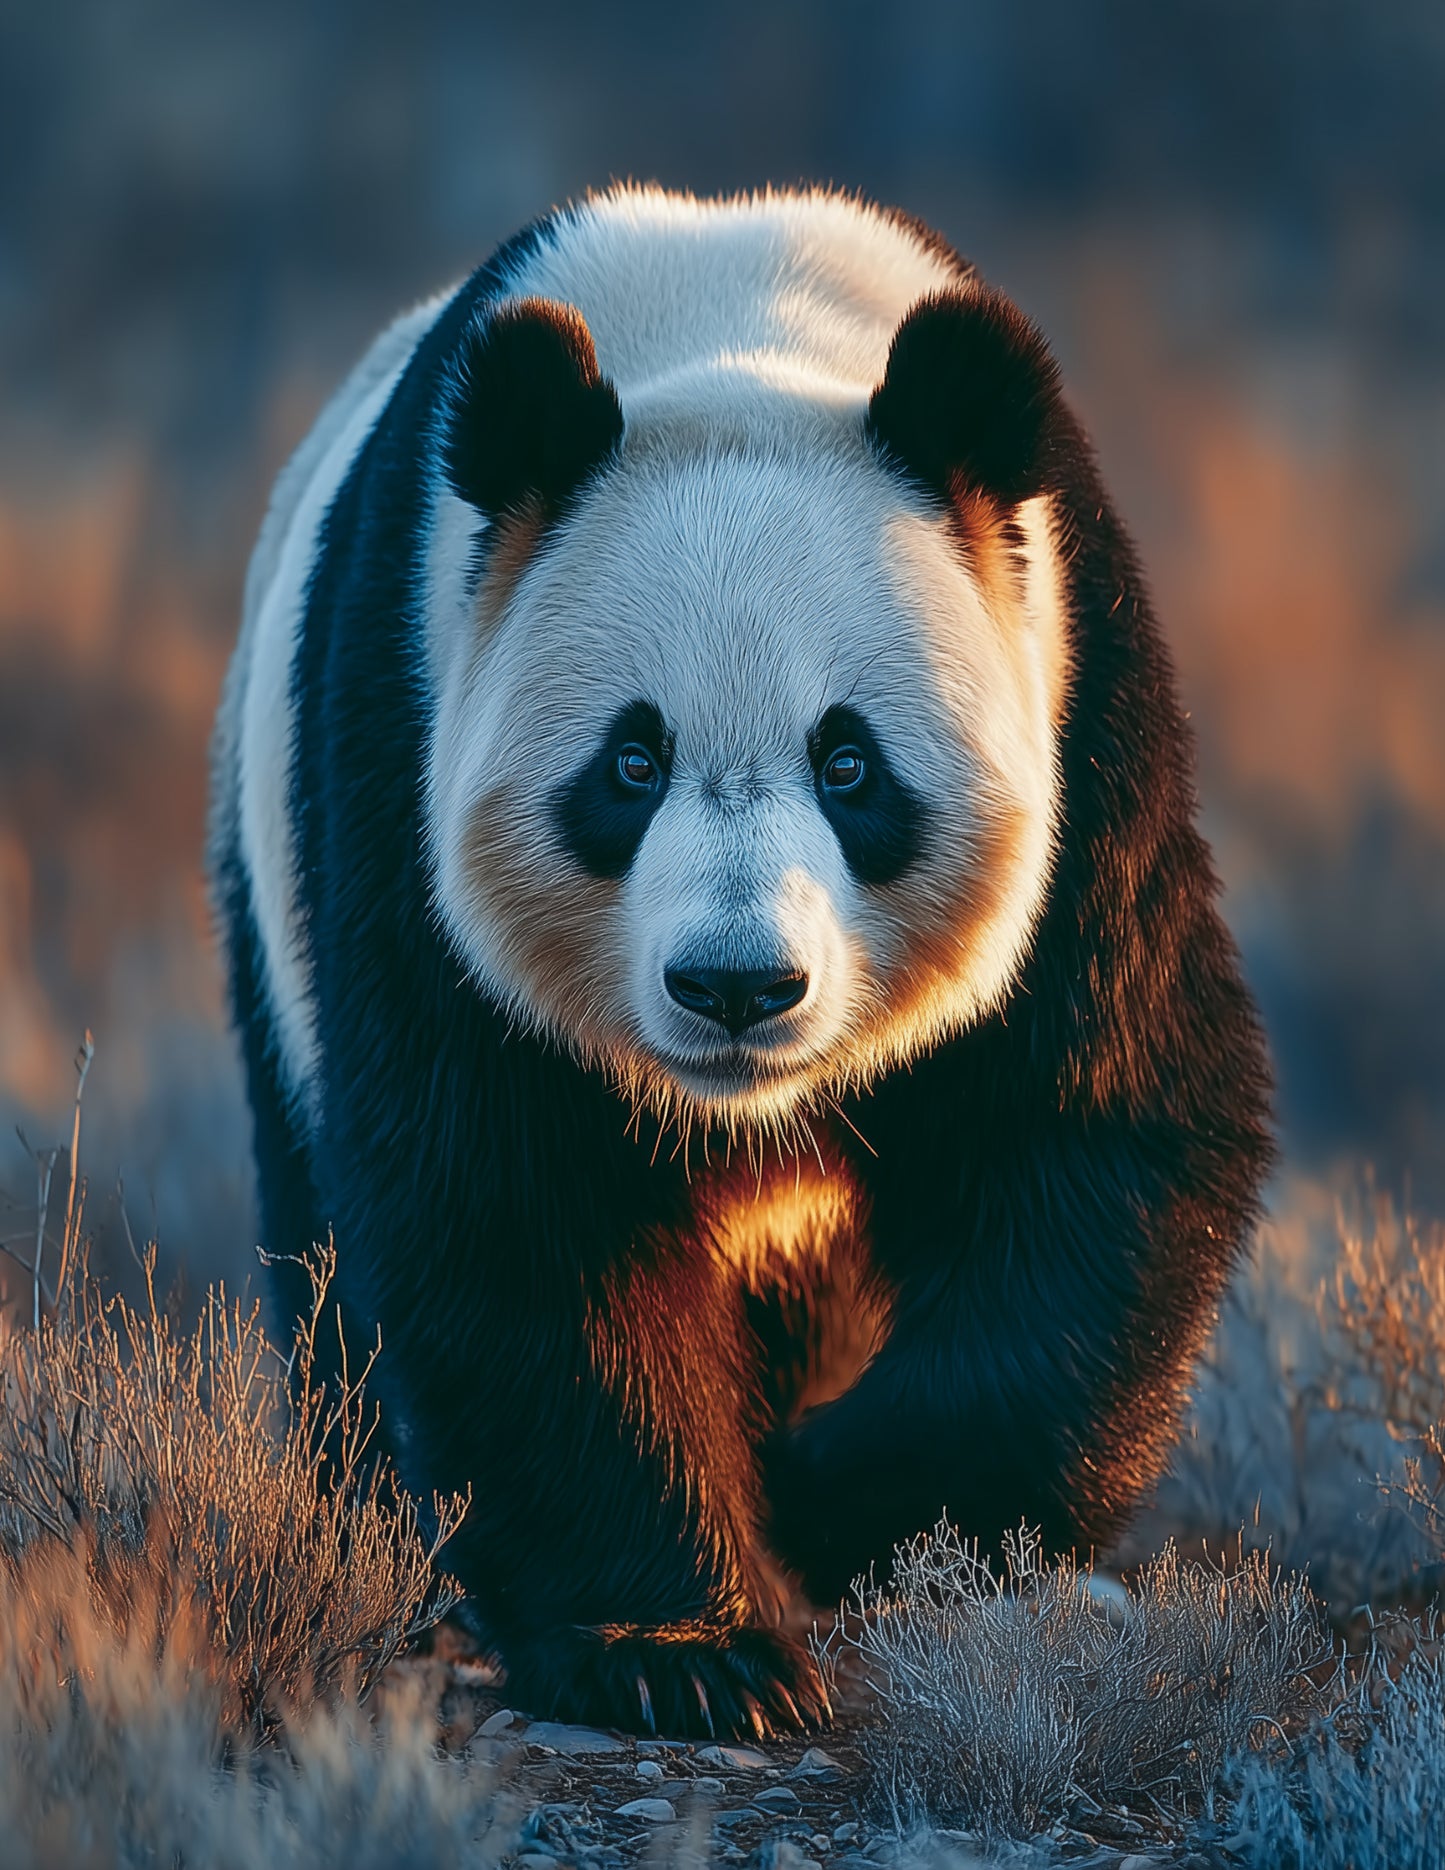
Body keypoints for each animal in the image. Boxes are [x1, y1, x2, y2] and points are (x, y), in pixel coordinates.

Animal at [209, 185, 1272, 1738]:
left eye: (850, 763)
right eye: (629, 763)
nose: (735, 986)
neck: (732, 335)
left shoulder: (1086, 709)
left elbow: (1099, 1132)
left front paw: (831, 1510)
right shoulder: (397, 752)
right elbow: (512, 1204)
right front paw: (686, 1652)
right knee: (329, 1267)